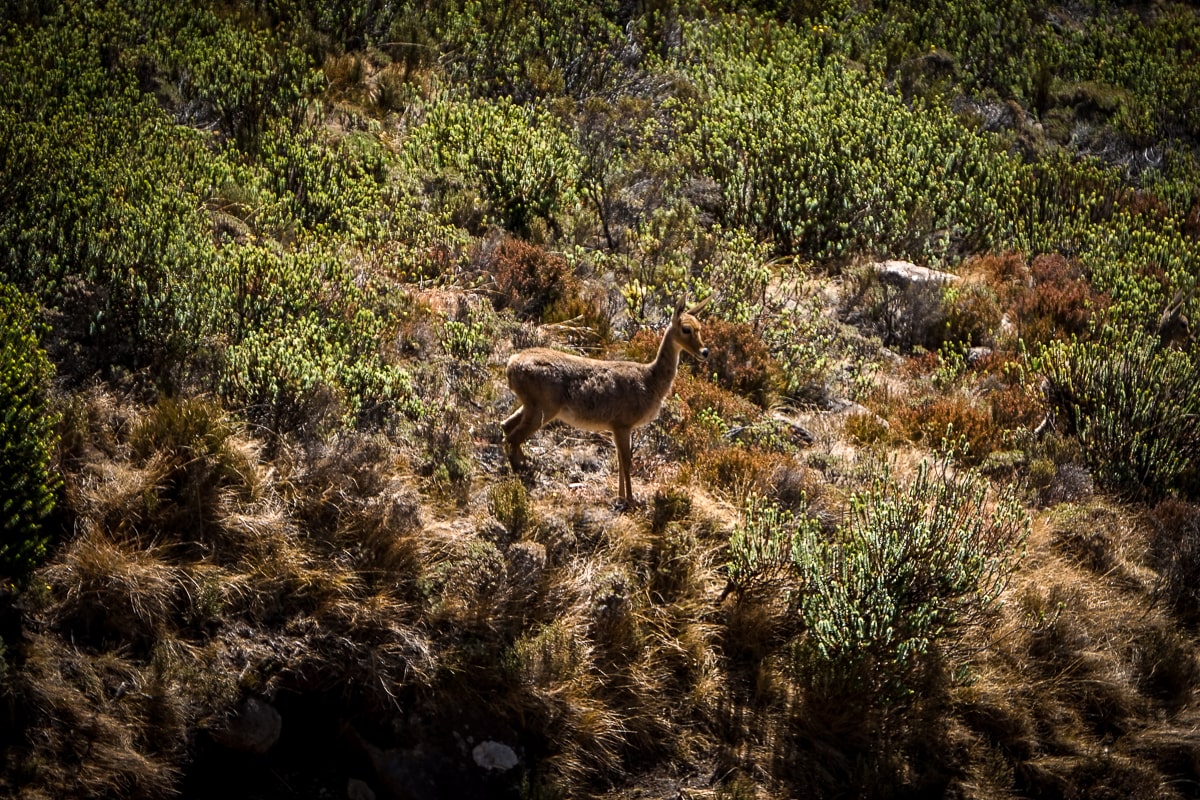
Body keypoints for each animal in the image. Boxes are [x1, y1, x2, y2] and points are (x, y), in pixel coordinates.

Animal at [501, 298, 711, 503]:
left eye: (700, 327)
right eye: (686, 329)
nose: (705, 351)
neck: (651, 380)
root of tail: (511, 365)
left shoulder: (616, 426)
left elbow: (619, 461)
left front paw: (620, 497)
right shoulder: (622, 423)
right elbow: (626, 462)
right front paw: (630, 501)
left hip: (531, 404)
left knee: (506, 426)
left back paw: (523, 467)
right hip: (544, 407)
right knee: (513, 436)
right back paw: (521, 473)